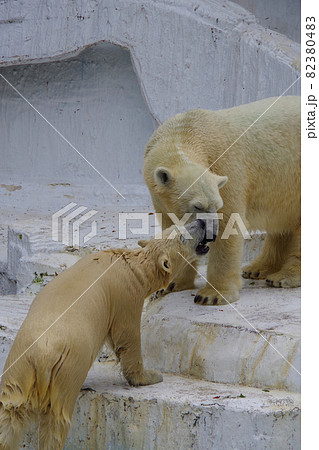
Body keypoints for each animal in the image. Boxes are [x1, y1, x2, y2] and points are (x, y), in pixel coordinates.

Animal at [0, 221, 210, 450]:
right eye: (183, 236)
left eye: (180, 225)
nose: (201, 222)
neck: (132, 264)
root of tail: (41, 358)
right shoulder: (126, 293)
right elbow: (127, 336)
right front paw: (151, 376)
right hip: (66, 369)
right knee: (56, 420)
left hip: (18, 370)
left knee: (9, 415)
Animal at [144, 95, 302, 306]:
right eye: (197, 206)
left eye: (217, 206)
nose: (210, 234)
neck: (183, 132)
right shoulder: (159, 198)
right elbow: (172, 229)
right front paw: (170, 285)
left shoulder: (227, 167)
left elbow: (229, 224)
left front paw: (211, 295)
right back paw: (257, 268)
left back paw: (283, 277)